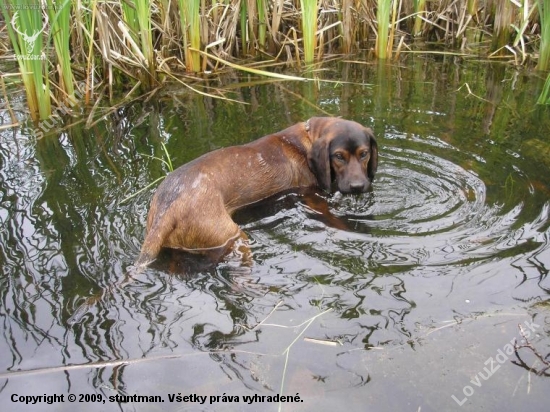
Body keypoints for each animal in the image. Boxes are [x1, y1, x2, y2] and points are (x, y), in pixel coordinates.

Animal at [137, 117, 380, 266]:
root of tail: (168, 210)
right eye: (338, 156)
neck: (308, 138)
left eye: (364, 153)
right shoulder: (310, 198)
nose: (358, 187)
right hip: (234, 237)